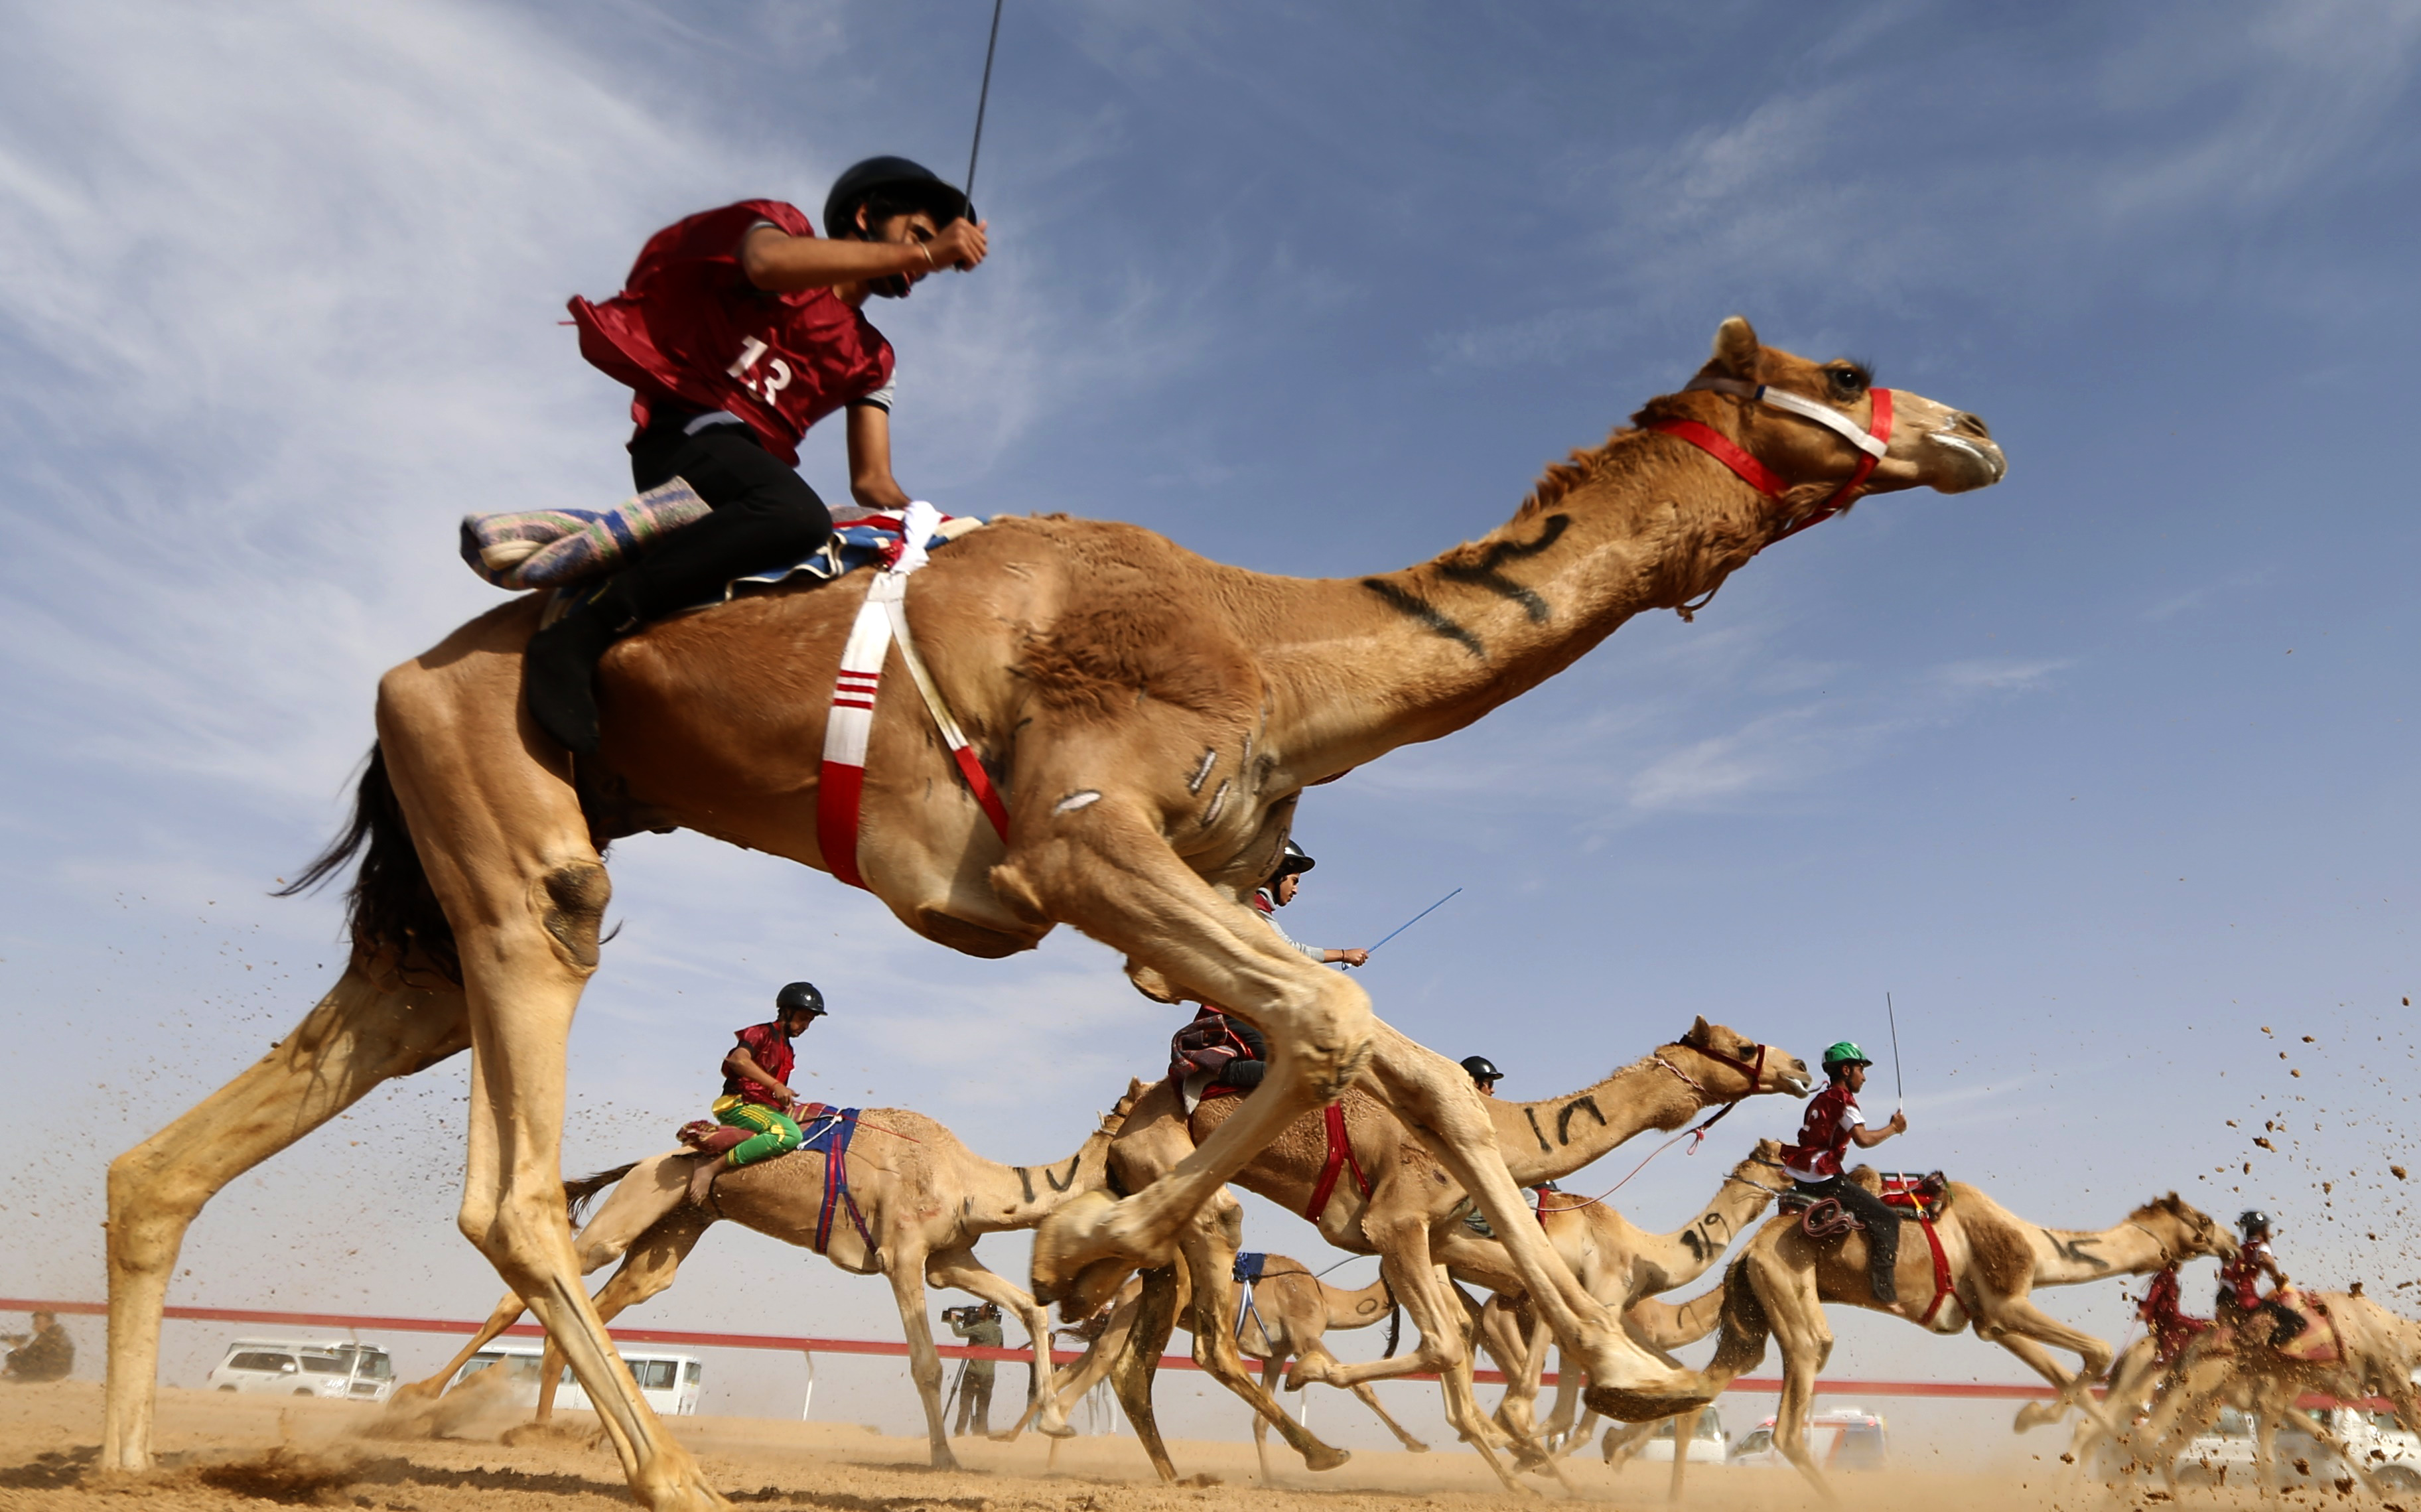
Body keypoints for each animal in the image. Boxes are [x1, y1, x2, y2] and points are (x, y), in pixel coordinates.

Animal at [389, 1079, 1142, 1471]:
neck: (966, 1179)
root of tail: (644, 1160)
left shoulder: (949, 1258)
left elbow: (1029, 1308)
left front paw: (1055, 1423)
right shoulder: (902, 1254)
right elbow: (927, 1363)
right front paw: (944, 1458)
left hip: (671, 1235)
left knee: (599, 1304)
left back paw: (550, 1429)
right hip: (631, 1210)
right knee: (533, 1284)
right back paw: (419, 1398)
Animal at [1089, 1016, 1811, 1490]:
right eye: (1745, 1045)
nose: (1800, 1068)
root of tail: (1123, 1123)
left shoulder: (1434, 1239)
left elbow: (1469, 1335)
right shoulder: (1398, 1221)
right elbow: (1449, 1344)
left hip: (1155, 1223)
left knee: (1137, 1357)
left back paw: (1176, 1471)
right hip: (1179, 1174)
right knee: (1208, 1335)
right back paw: (1321, 1452)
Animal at [1685, 1180, 2227, 1499]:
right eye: (2201, 1221)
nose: (2228, 1242)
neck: (2038, 1246)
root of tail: (1748, 1251)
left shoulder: (1991, 1320)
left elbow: (2075, 1382)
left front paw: (2032, 1419)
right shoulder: (2007, 1301)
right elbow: (2097, 1350)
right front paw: (2037, 1420)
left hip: (1754, 1309)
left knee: (1708, 1385)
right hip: (1789, 1284)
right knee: (1792, 1418)